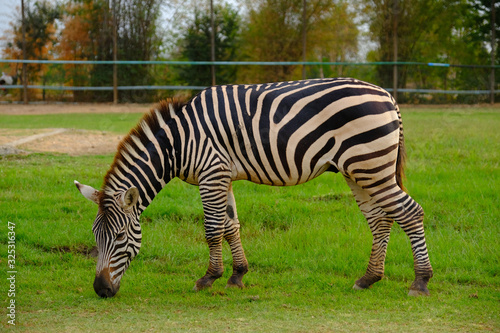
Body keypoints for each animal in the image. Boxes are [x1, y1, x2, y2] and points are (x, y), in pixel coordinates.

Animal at [75, 77, 434, 296]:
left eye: (120, 237)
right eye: (95, 236)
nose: (100, 290)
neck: (178, 143)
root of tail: (387, 96)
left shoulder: (211, 174)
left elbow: (212, 229)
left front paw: (209, 277)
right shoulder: (223, 176)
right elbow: (231, 226)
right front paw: (238, 274)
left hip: (371, 165)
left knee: (411, 213)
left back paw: (420, 281)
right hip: (358, 170)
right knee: (380, 219)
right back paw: (369, 278)